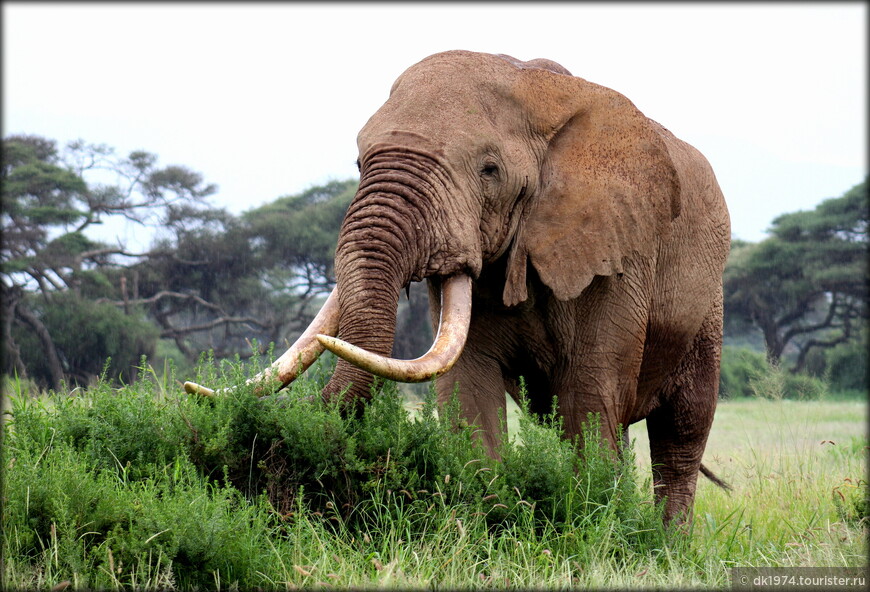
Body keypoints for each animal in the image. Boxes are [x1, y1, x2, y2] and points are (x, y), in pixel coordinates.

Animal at [186, 51, 736, 524]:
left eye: (489, 171)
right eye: (360, 163)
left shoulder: (616, 251)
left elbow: (588, 390)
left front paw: (594, 528)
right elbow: (469, 386)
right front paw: (492, 525)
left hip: (708, 304)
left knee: (681, 432)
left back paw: (665, 542)